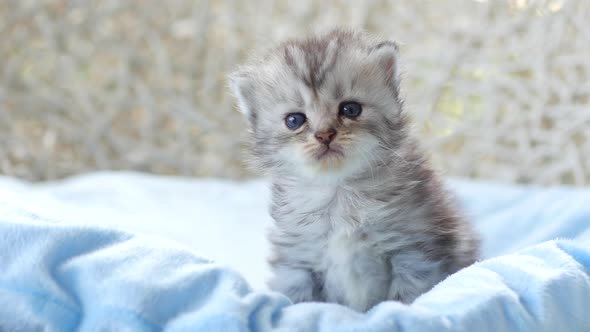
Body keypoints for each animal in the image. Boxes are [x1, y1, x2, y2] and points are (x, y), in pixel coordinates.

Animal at [229, 28, 478, 312]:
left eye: (350, 109)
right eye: (294, 120)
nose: (325, 134)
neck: (339, 190)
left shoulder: (413, 250)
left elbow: (407, 296)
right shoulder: (297, 261)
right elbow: (299, 299)